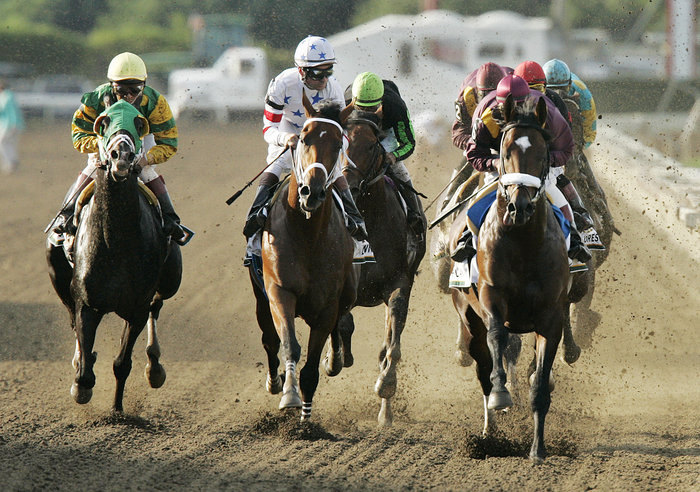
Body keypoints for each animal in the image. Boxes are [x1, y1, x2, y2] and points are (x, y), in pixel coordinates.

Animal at [46, 102, 182, 414]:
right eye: (104, 122)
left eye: (138, 124)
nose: (122, 156)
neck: (115, 241)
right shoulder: (87, 303)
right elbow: (85, 367)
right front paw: (81, 384)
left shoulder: (136, 308)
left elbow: (122, 363)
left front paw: (117, 409)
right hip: (58, 274)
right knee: (71, 318)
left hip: (172, 278)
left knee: (157, 306)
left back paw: (154, 367)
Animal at [250, 94, 358, 420]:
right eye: (304, 138)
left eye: (338, 143)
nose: (313, 192)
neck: (307, 234)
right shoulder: (279, 291)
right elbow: (289, 346)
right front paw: (289, 394)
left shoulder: (327, 305)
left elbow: (312, 367)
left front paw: (306, 420)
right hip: (261, 297)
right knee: (269, 339)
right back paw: (275, 381)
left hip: (347, 292)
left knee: (342, 322)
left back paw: (335, 359)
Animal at [340, 107, 426, 426]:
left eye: (371, 146)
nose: (349, 185)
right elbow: (343, 322)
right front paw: (335, 358)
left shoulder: (399, 282)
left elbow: (392, 345)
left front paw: (386, 384)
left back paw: (385, 414)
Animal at [454, 95, 580, 462]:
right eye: (506, 150)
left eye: (542, 152)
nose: (519, 206)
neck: (524, 241)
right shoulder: (492, 299)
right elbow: (497, 338)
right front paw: (501, 395)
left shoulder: (551, 317)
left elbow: (540, 383)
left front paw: (537, 450)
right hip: (468, 317)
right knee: (483, 366)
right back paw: (489, 433)